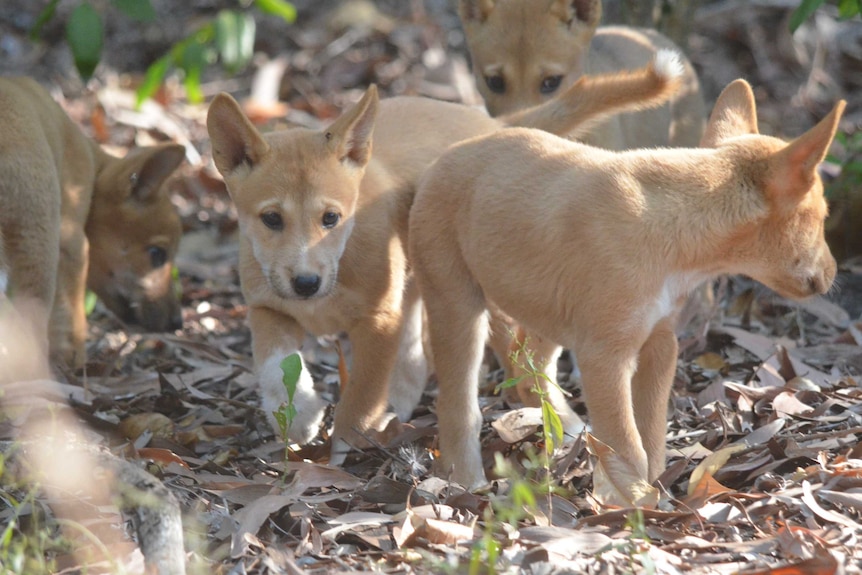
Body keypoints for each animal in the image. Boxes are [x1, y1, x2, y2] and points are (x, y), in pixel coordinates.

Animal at [0, 77, 187, 368]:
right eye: (158, 254)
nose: (177, 323)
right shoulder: (72, 245)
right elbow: (72, 319)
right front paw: (76, 360)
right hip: (37, 243)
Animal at [206, 53, 684, 460]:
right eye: (271, 219)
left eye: (330, 218)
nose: (307, 284)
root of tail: (488, 121)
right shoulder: (268, 308)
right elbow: (273, 365)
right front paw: (299, 414)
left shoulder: (378, 322)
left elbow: (358, 398)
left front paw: (342, 449)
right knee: (420, 360)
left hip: (491, 298)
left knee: (526, 369)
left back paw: (569, 429)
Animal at [412, 79, 844, 488]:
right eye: (823, 217)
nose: (835, 274)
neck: (674, 233)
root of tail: (449, 154)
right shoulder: (605, 355)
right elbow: (628, 447)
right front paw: (636, 502)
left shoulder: (659, 342)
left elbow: (650, 441)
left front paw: (652, 492)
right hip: (459, 305)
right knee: (459, 405)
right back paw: (468, 479)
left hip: (550, 311)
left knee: (527, 365)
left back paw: (569, 430)